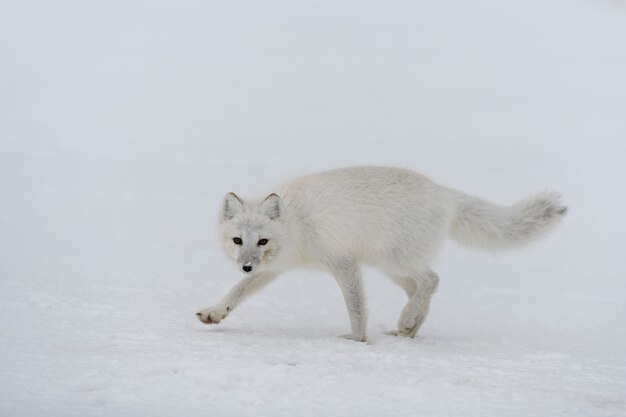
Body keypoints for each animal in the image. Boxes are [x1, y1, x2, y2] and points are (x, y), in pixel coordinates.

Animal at [196, 166, 564, 342]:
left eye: (262, 241)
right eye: (238, 240)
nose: (245, 265)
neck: (297, 224)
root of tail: (443, 193)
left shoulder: (344, 263)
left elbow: (356, 307)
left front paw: (357, 339)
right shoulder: (274, 269)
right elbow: (237, 292)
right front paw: (215, 313)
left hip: (394, 259)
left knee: (432, 279)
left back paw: (406, 321)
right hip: (394, 269)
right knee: (421, 289)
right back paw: (409, 328)